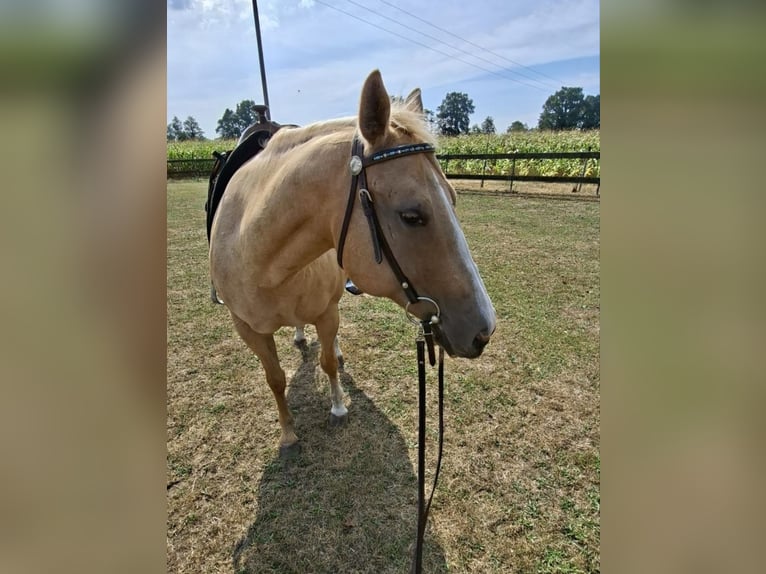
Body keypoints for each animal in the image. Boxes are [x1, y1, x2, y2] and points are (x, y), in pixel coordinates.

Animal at [209, 69, 496, 454]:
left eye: (452, 198)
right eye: (411, 215)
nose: (484, 330)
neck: (263, 258)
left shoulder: (327, 312)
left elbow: (328, 362)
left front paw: (338, 407)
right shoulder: (247, 329)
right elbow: (275, 379)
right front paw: (288, 435)